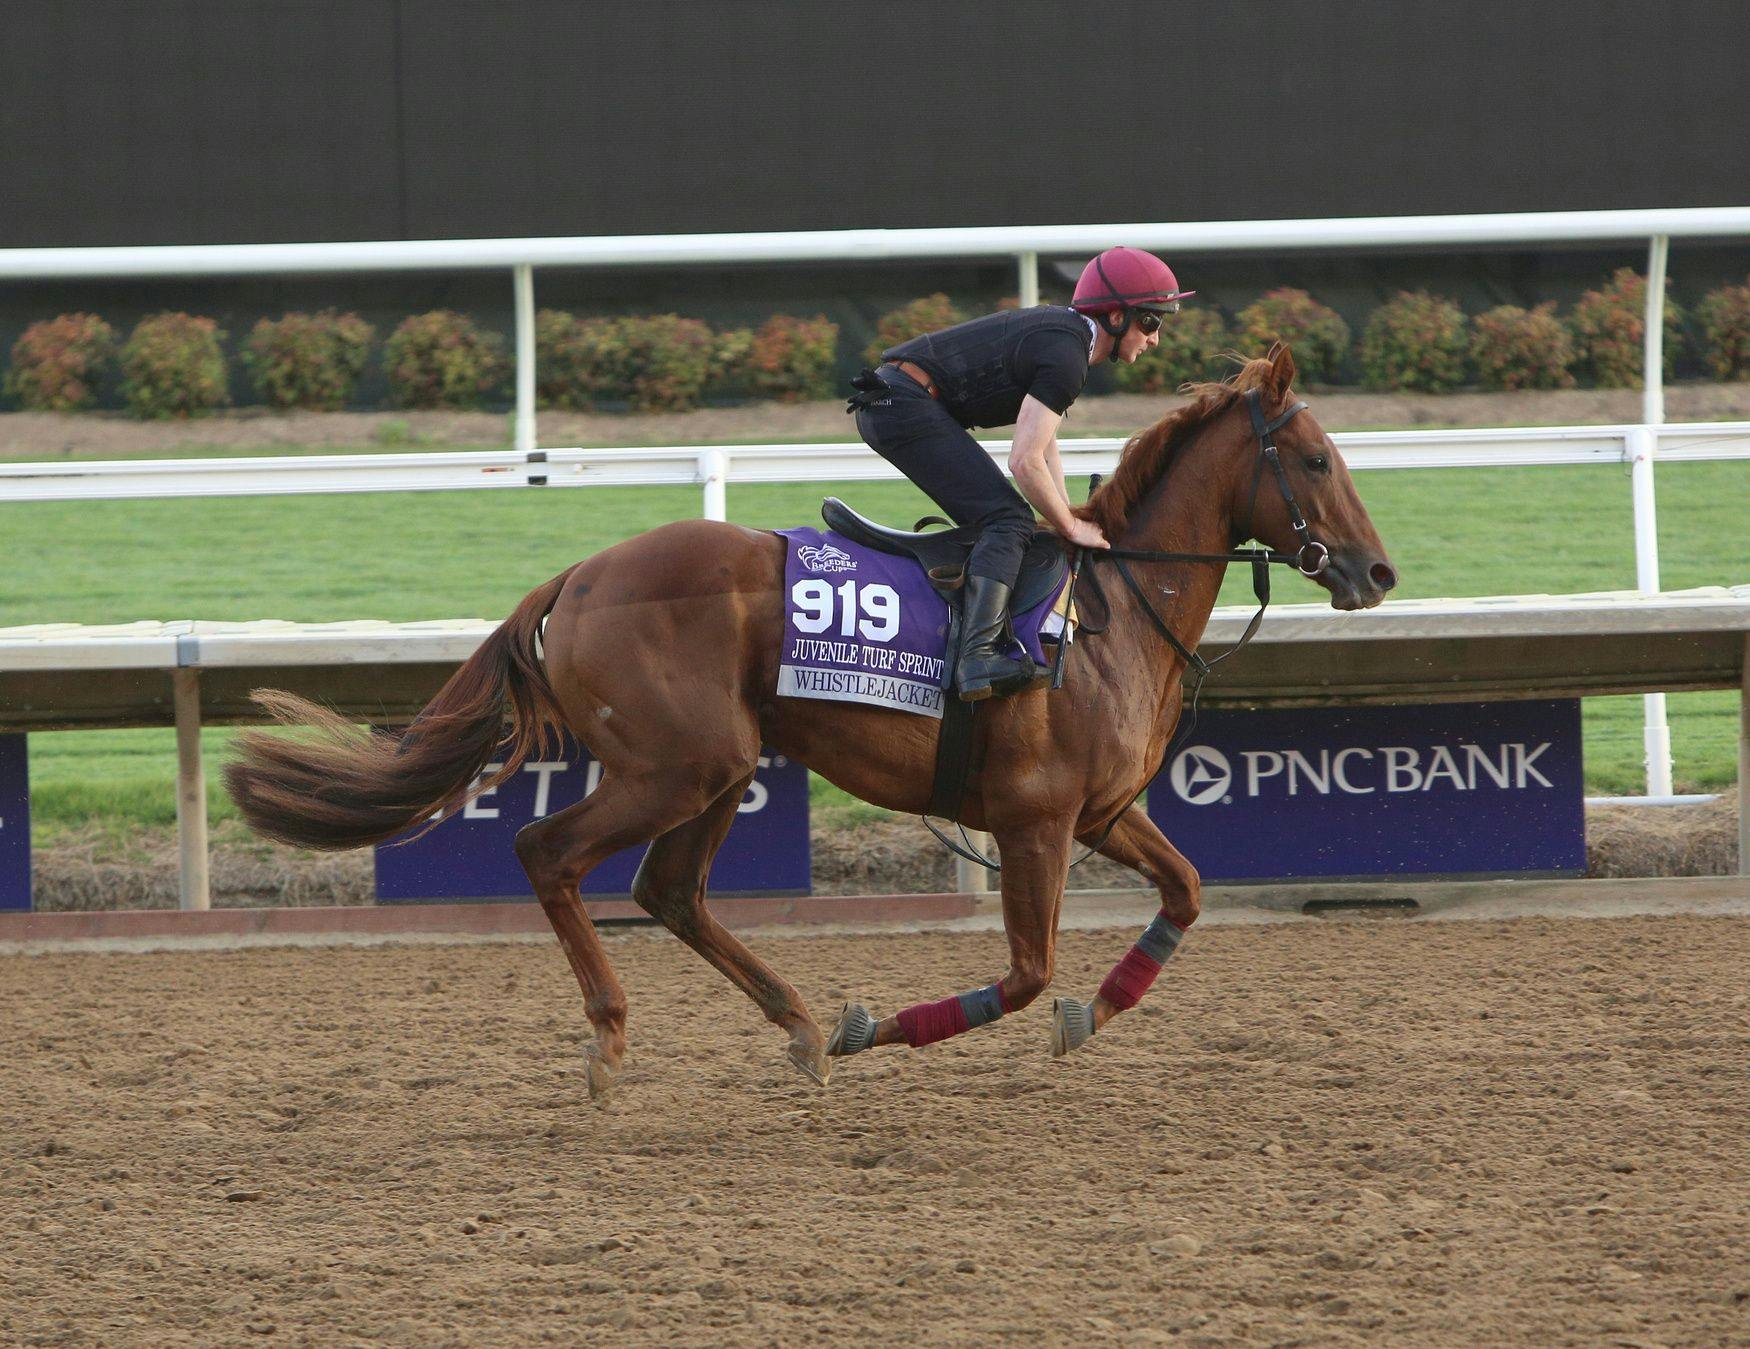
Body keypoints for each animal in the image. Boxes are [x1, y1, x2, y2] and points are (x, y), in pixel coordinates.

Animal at [225, 346, 1393, 1098]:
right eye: (1320, 461)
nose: (1376, 573)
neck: (1106, 609)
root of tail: (579, 575)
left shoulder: (1103, 811)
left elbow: (1185, 892)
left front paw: (1089, 1013)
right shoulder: (1037, 818)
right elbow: (1025, 973)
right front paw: (877, 1024)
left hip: (722, 763)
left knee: (670, 890)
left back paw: (793, 1025)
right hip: (678, 764)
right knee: (546, 849)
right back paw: (614, 1040)